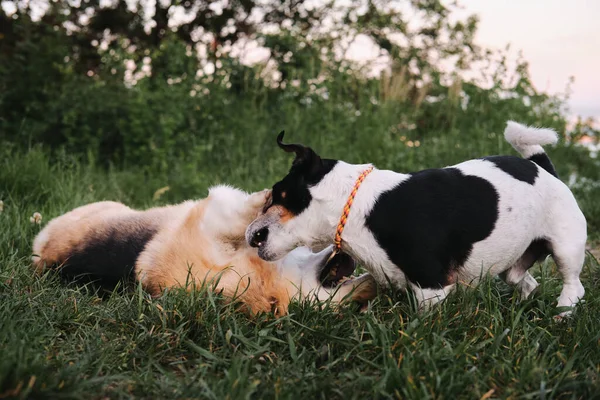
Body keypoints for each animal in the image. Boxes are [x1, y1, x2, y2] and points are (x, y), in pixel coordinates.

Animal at [246, 120, 588, 314]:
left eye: (276, 195)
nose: (251, 235)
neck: (356, 206)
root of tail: (545, 168)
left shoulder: (431, 287)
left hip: (566, 248)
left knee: (574, 286)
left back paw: (562, 314)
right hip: (513, 265)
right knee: (527, 283)